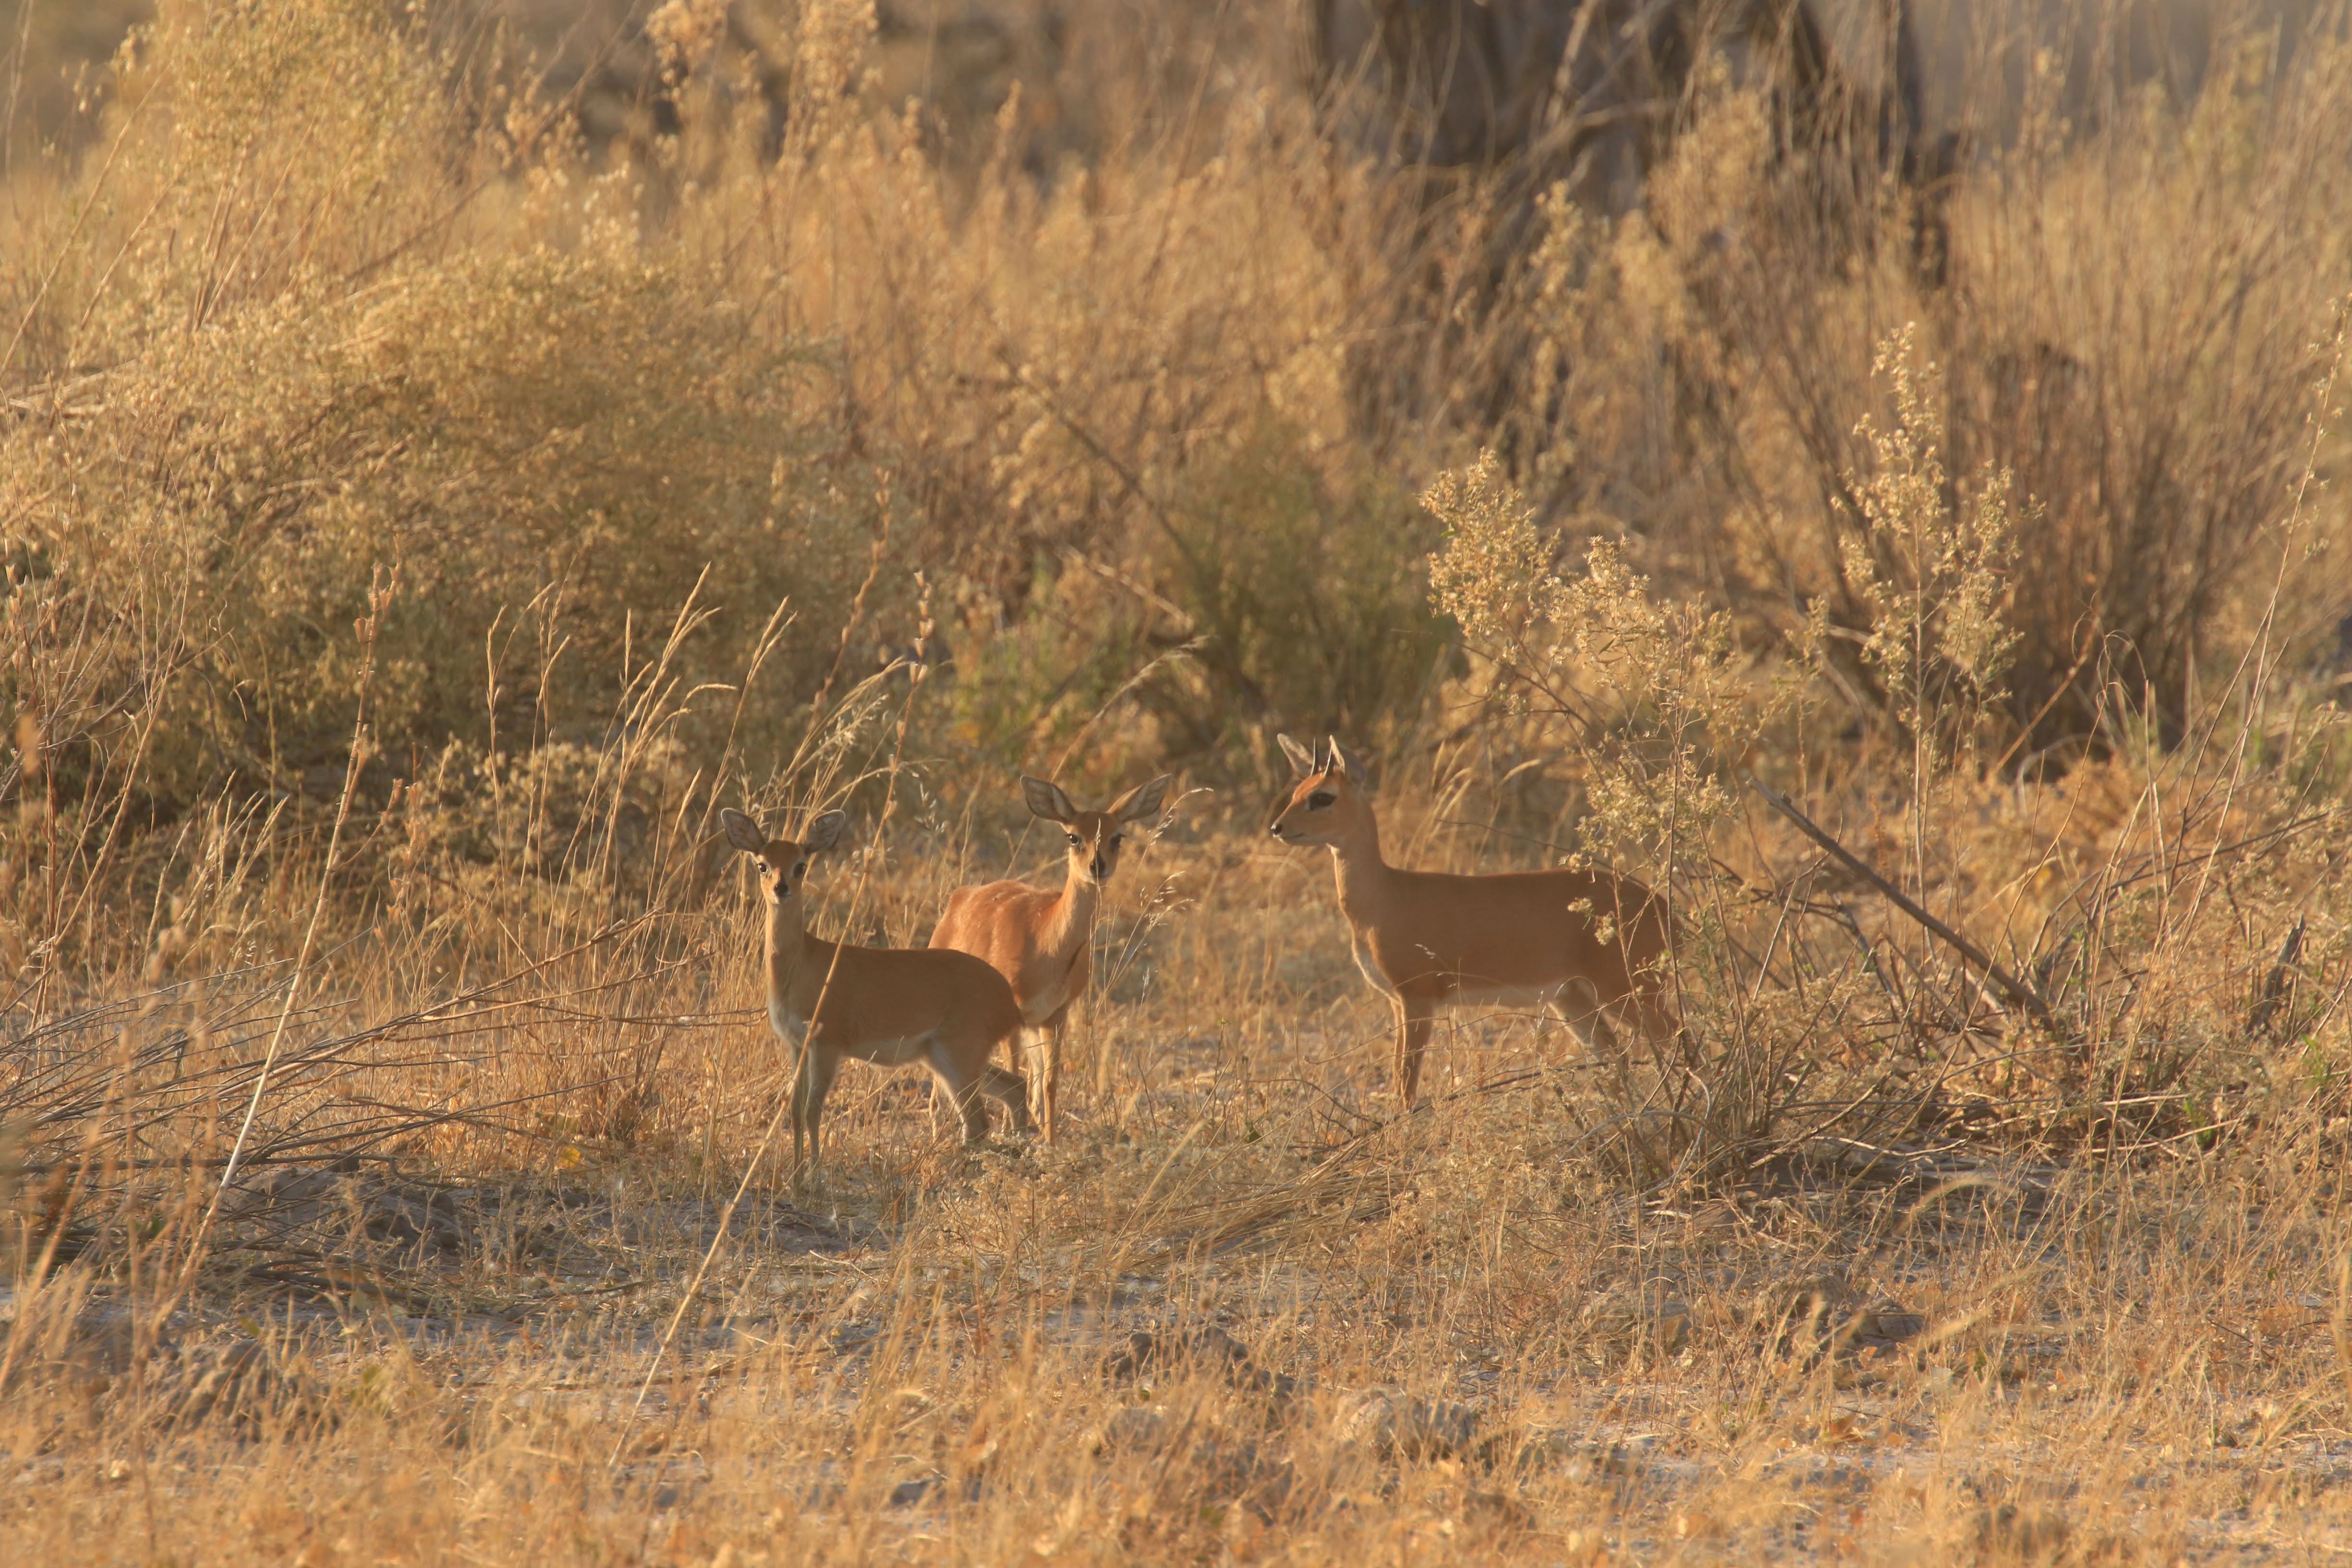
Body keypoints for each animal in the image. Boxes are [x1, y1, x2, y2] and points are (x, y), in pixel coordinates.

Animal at [715, 808, 1030, 1175]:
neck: (801, 965)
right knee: (1014, 1089)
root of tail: (1008, 999)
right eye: (762, 864)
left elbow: (813, 1109)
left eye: (801, 865)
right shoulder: (797, 1045)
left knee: (979, 1121)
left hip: (958, 1056)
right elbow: (794, 1109)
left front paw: (813, 1176)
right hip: (944, 1057)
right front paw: (794, 1175)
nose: (781, 888)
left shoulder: (827, 1044)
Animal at [922, 771, 1171, 1142]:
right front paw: (1014, 1133)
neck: (1046, 945)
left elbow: (1050, 1083)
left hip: (1032, 1026)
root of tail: (959, 898)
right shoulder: (1012, 1013)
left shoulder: (1056, 1014)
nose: (1097, 866)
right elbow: (1015, 1072)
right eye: (1073, 836)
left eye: (1118, 836)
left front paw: (1049, 1141)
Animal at [1270, 742, 1674, 1109]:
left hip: (1628, 991)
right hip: (1573, 998)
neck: (1384, 898)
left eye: (1323, 796)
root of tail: (1663, 907)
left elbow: (1406, 1086)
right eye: (1298, 791)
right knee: (1617, 1058)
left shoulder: (1418, 997)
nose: (1278, 827)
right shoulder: (1397, 1001)